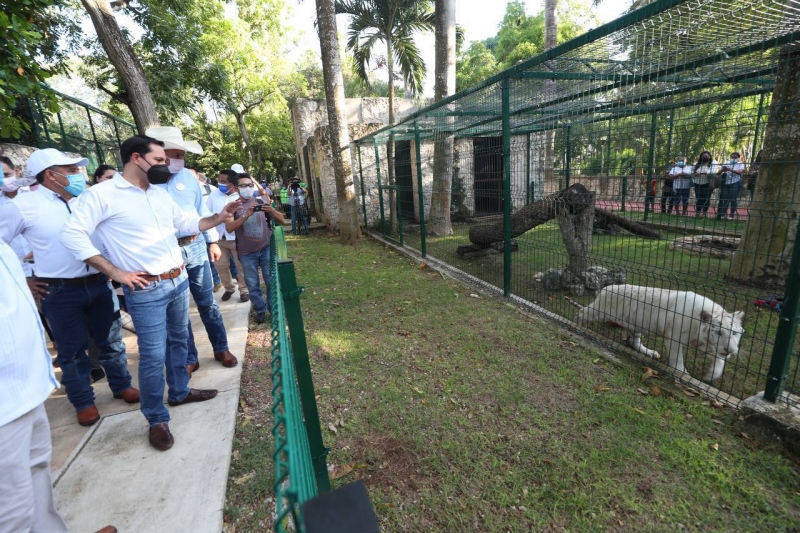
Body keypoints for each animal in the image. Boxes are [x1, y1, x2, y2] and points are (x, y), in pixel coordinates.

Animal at [576, 284, 744, 380]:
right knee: (582, 312)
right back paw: (577, 324)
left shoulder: (705, 344)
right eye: (719, 332)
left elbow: (719, 361)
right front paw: (683, 374)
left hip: (636, 325)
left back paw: (649, 352)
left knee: (633, 341)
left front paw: (710, 375)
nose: (730, 350)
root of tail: (606, 288)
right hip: (598, 312)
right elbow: (677, 360)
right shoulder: (674, 339)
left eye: (734, 333)